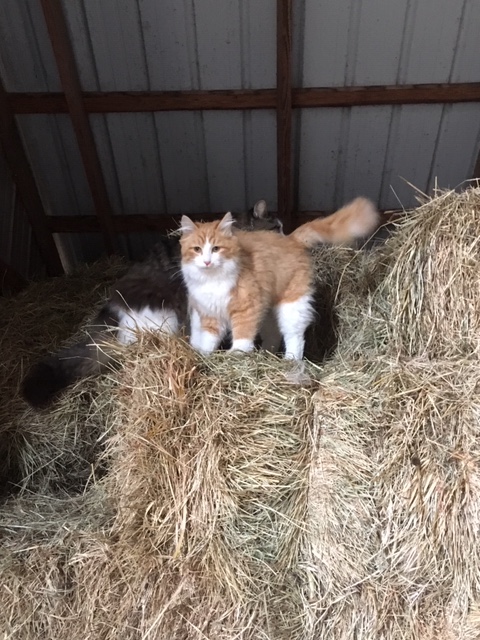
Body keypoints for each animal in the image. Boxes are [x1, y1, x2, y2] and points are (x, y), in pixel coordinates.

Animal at [180, 198, 378, 360]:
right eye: (197, 249)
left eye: (216, 249)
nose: (207, 262)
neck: (211, 278)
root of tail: (292, 239)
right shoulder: (209, 313)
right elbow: (207, 339)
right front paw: (203, 356)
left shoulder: (246, 309)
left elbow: (242, 337)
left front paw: (236, 356)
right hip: (270, 310)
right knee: (274, 334)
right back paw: (266, 354)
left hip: (292, 305)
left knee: (294, 336)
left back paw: (290, 361)